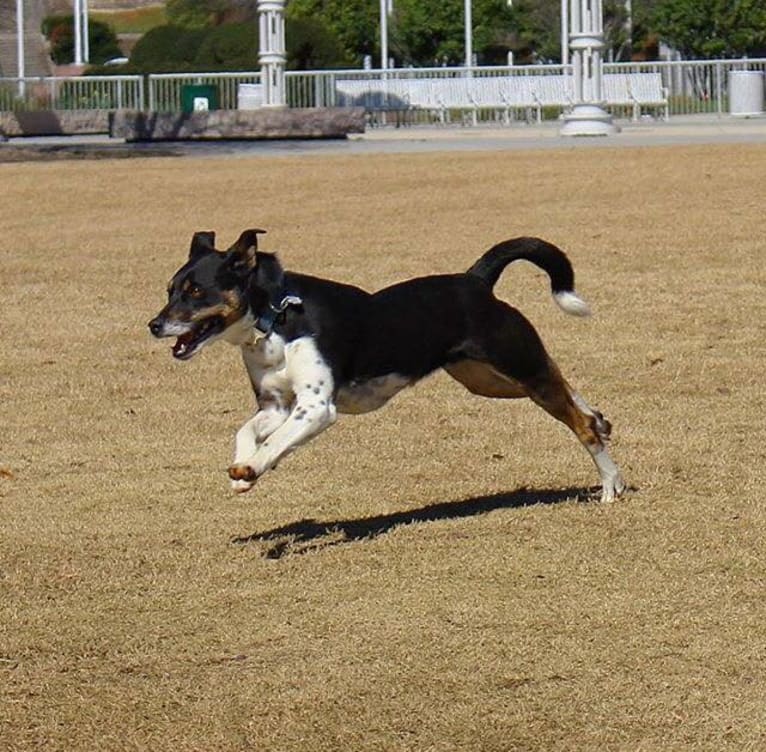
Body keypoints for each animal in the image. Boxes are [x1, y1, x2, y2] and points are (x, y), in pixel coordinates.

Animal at [148, 229, 624, 500]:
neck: (277, 320)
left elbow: (278, 440)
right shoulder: (276, 406)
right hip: (487, 379)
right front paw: (244, 471)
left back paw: (609, 484)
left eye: (195, 291)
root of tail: (475, 280)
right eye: (170, 288)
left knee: (575, 420)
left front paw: (253, 466)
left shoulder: (314, 408)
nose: (154, 325)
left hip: (514, 362)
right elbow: (245, 430)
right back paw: (600, 422)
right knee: (565, 386)